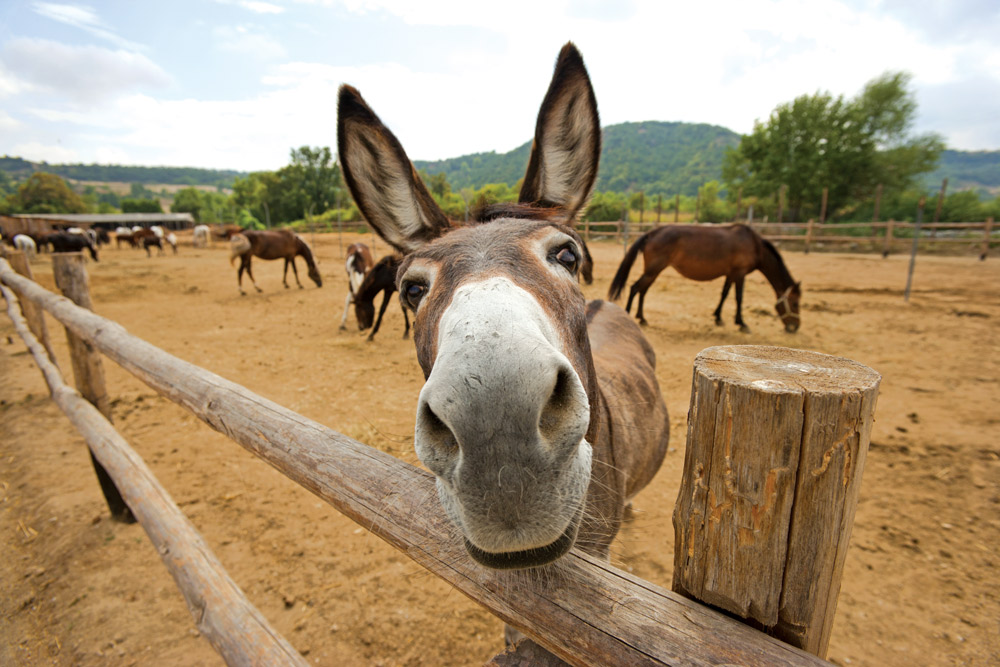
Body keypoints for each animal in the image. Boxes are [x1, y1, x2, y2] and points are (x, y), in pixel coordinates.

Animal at [604, 224, 800, 334]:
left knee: (642, 290)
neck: (754, 245)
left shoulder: (730, 274)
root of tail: (652, 233)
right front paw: (742, 323)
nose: (795, 327)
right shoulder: (740, 273)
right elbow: (738, 298)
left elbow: (724, 294)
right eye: (795, 303)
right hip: (654, 269)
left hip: (654, 271)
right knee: (635, 288)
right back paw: (629, 316)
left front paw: (718, 317)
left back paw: (642, 318)